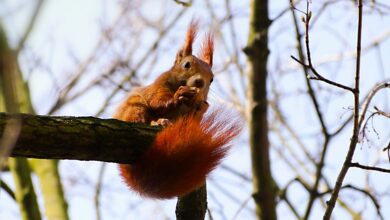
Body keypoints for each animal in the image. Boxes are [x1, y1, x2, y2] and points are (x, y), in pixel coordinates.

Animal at [112, 21, 241, 199]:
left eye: (212, 79)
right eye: (186, 65)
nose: (200, 82)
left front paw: (200, 107)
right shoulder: (158, 85)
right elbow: (157, 101)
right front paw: (177, 96)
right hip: (134, 108)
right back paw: (157, 121)